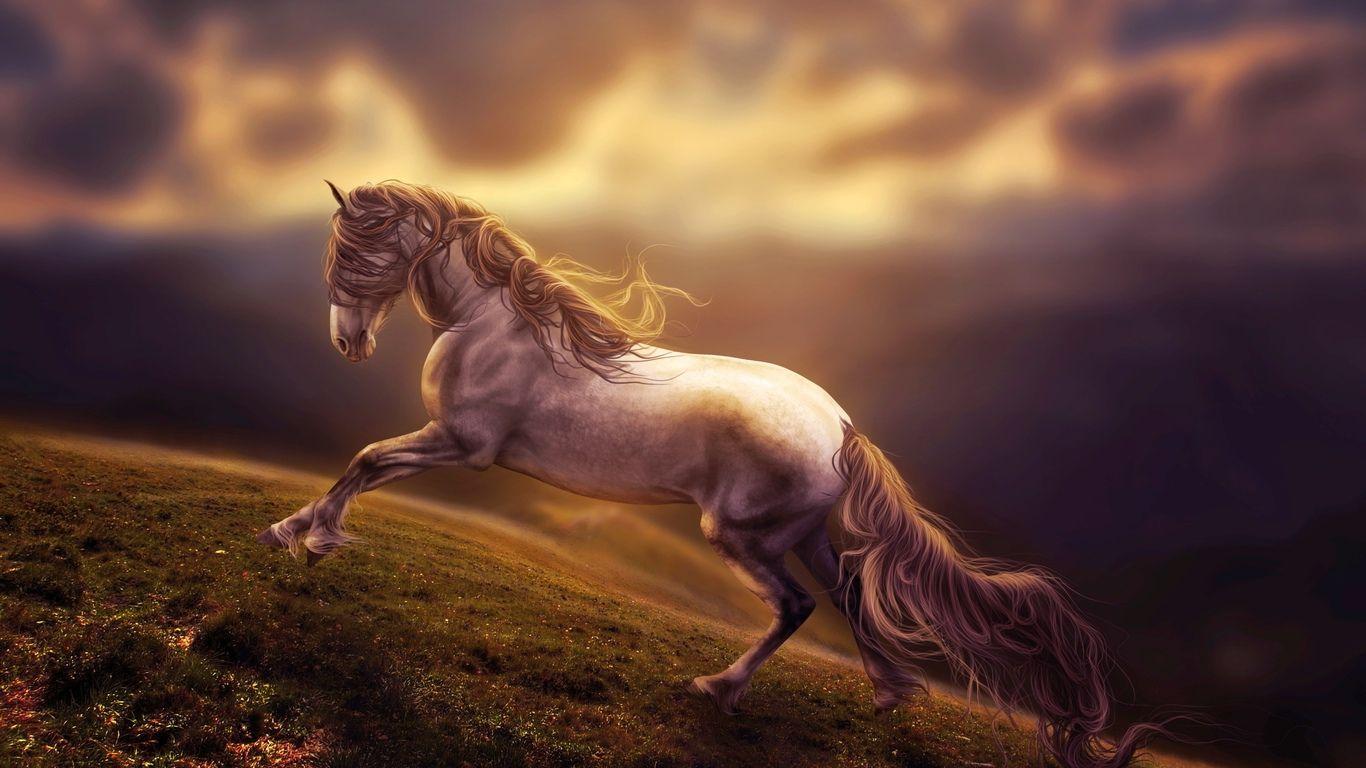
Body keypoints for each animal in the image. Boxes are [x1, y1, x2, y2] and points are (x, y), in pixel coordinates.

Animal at [256, 179, 1158, 768]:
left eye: (361, 250)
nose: (347, 341)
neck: (495, 324)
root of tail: (841, 428)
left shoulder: (460, 443)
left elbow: (366, 460)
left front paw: (306, 536)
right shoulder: (454, 443)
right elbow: (367, 463)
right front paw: (296, 531)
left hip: (742, 536)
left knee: (797, 607)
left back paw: (717, 688)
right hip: (806, 535)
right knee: (849, 596)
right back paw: (890, 694)